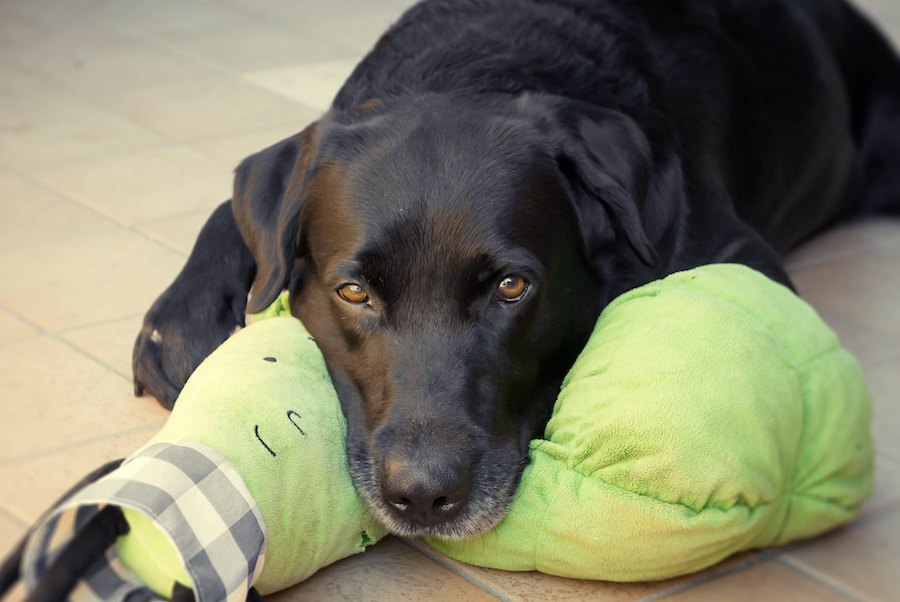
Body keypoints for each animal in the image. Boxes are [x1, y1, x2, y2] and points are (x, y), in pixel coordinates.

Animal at [134, 0, 900, 536]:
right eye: (352, 292)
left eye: (512, 287)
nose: (423, 497)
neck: (481, 59)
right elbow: (233, 207)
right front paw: (183, 323)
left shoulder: (743, 258)